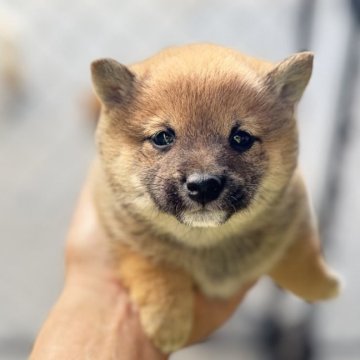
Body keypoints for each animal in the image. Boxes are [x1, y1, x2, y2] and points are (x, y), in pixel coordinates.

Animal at [90, 43, 340, 352]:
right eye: (162, 137)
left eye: (241, 138)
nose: (204, 185)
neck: (207, 241)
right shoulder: (119, 230)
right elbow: (155, 266)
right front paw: (167, 320)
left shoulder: (294, 215)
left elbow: (301, 257)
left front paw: (323, 285)